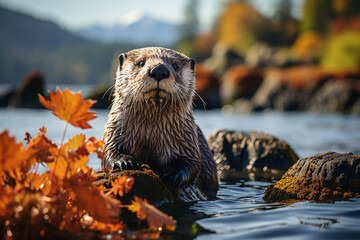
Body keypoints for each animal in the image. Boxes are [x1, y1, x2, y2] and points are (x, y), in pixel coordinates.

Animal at [102, 46, 218, 197]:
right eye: (141, 63)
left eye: (175, 65)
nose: (159, 70)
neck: (150, 133)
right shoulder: (115, 130)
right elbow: (108, 150)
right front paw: (125, 162)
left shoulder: (187, 140)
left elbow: (191, 162)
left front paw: (174, 174)